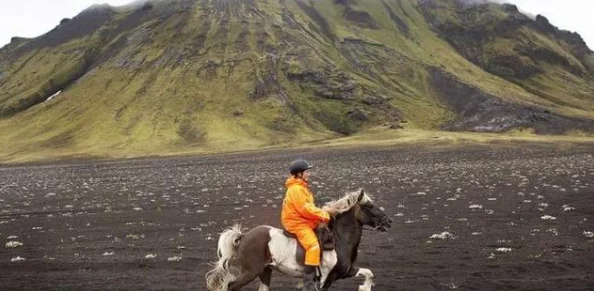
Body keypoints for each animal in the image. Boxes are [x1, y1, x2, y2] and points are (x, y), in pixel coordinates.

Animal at [206, 190, 390, 290]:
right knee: (230, 286)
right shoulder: (325, 279)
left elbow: (369, 273)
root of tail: (243, 236)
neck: (338, 241)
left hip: (265, 271)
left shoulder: (344, 272)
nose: (388, 221)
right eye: (370, 206)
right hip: (251, 272)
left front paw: (364, 287)